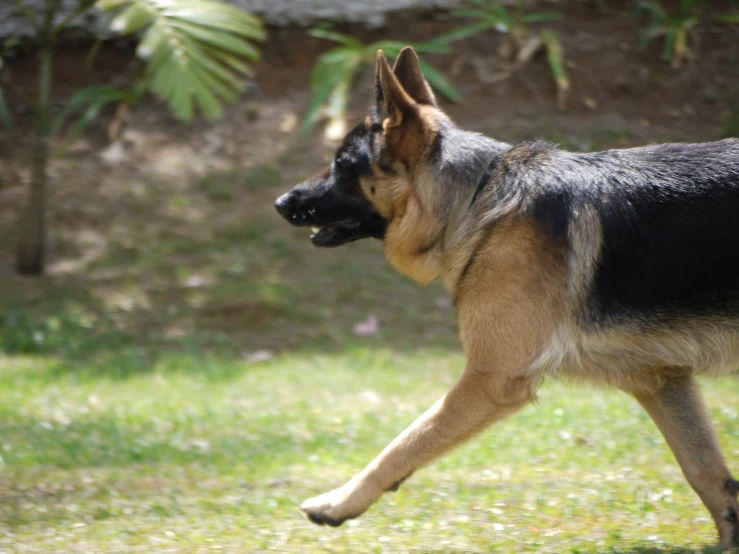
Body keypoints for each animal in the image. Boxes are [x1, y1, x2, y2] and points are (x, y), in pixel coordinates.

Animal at [274, 47, 739, 548]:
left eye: (343, 165)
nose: (280, 203)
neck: (476, 197)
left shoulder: (490, 380)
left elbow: (405, 442)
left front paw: (339, 502)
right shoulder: (660, 380)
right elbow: (706, 472)